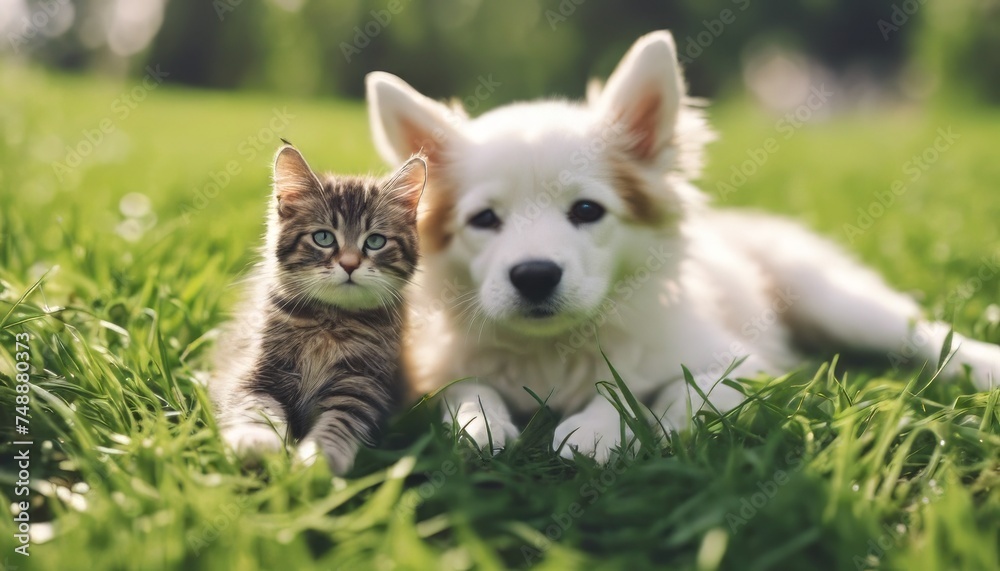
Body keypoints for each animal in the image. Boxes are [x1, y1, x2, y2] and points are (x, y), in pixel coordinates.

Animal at [213, 145, 424, 476]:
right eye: (323, 237)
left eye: (375, 241)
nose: (349, 264)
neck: (329, 320)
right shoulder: (256, 370)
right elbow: (255, 406)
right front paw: (255, 440)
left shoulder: (362, 386)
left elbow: (341, 421)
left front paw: (320, 459)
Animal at [364, 29, 996, 462]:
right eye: (484, 219)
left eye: (587, 211)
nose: (535, 275)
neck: (557, 347)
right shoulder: (434, 367)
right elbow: (465, 391)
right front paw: (480, 424)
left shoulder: (739, 362)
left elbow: (661, 391)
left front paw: (604, 427)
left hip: (832, 298)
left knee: (920, 333)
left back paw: (981, 365)